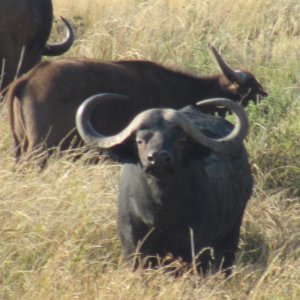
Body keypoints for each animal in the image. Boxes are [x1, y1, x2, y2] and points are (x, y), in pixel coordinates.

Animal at [75, 94, 253, 276]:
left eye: (181, 141)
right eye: (140, 141)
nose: (158, 158)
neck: (160, 212)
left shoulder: (197, 248)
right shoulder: (134, 249)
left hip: (231, 233)